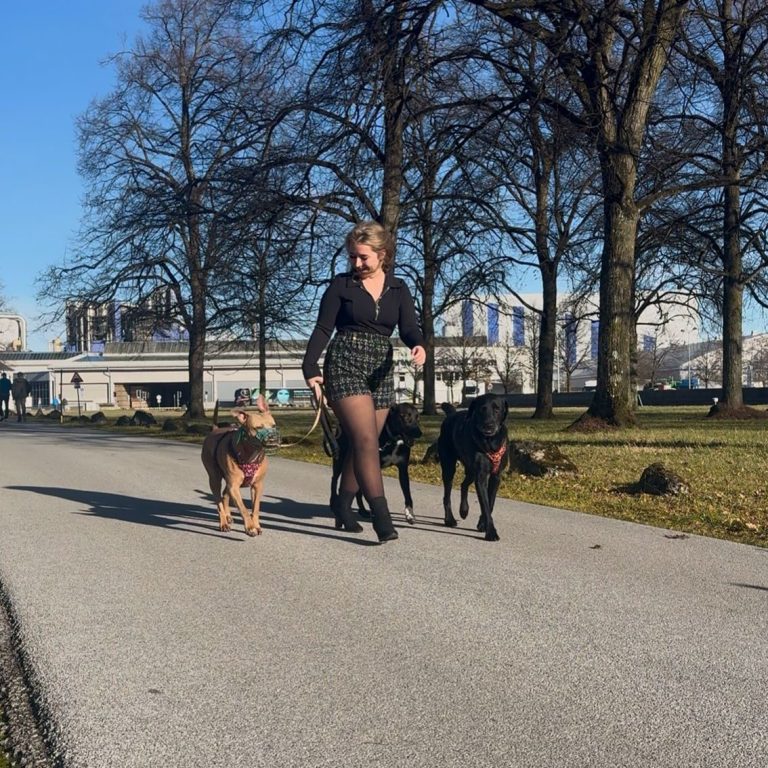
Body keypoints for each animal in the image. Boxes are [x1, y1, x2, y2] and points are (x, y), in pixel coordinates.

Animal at [201, 395, 279, 536]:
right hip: (214, 478)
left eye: (274, 426)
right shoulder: (234, 487)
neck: (251, 454)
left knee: (224, 494)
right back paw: (223, 522)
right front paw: (250, 527)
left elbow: (256, 507)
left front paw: (256, 525)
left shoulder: (257, 485)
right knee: (219, 501)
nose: (273, 438)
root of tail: (215, 429)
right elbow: (243, 508)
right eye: (258, 428)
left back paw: (228, 516)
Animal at [437, 393, 509, 541]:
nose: (488, 425)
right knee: (447, 496)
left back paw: (463, 510)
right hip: (449, 467)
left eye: (497, 409)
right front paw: (491, 532)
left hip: (470, 470)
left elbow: (490, 503)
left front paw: (482, 524)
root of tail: (451, 415)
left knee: (464, 484)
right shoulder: (480, 477)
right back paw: (449, 519)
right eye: (481, 409)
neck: (490, 442)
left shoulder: (496, 476)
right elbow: (485, 505)